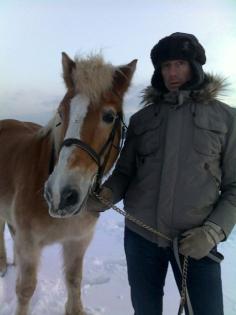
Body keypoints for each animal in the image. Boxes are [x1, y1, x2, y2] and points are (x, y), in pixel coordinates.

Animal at [0, 52, 136, 315]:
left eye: (109, 116)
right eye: (61, 113)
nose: (59, 194)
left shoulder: (77, 242)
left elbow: (74, 281)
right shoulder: (30, 244)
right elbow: (25, 290)